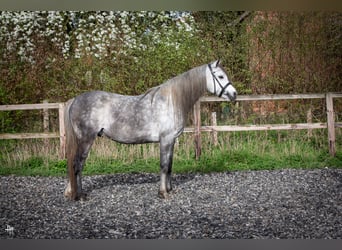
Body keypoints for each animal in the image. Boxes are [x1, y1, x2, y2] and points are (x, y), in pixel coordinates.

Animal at [64, 59, 236, 200]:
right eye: (221, 77)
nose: (234, 94)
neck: (171, 102)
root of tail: (75, 100)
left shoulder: (171, 140)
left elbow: (170, 165)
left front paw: (170, 190)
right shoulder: (165, 139)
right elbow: (164, 166)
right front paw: (163, 193)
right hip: (86, 139)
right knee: (77, 164)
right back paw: (79, 195)